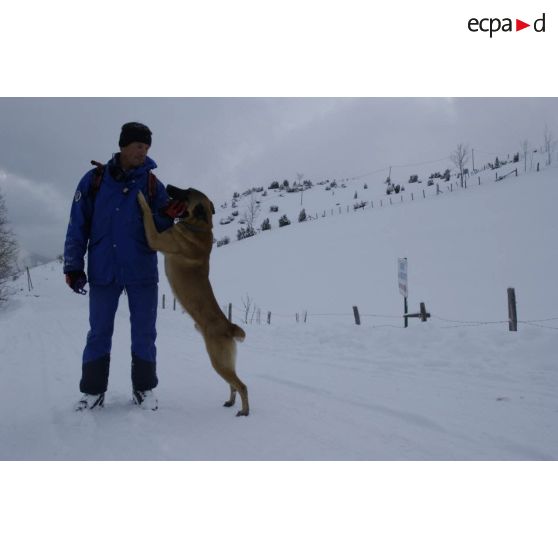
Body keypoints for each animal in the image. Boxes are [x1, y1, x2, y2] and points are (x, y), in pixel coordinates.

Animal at [137, 186, 250, 418]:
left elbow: (147, 215)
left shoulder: (155, 238)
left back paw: (244, 411)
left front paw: (141, 198)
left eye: (186, 192)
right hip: (225, 363)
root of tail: (229, 326)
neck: (199, 226)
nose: (168, 186)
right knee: (233, 385)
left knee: (242, 385)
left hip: (218, 361)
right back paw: (230, 402)